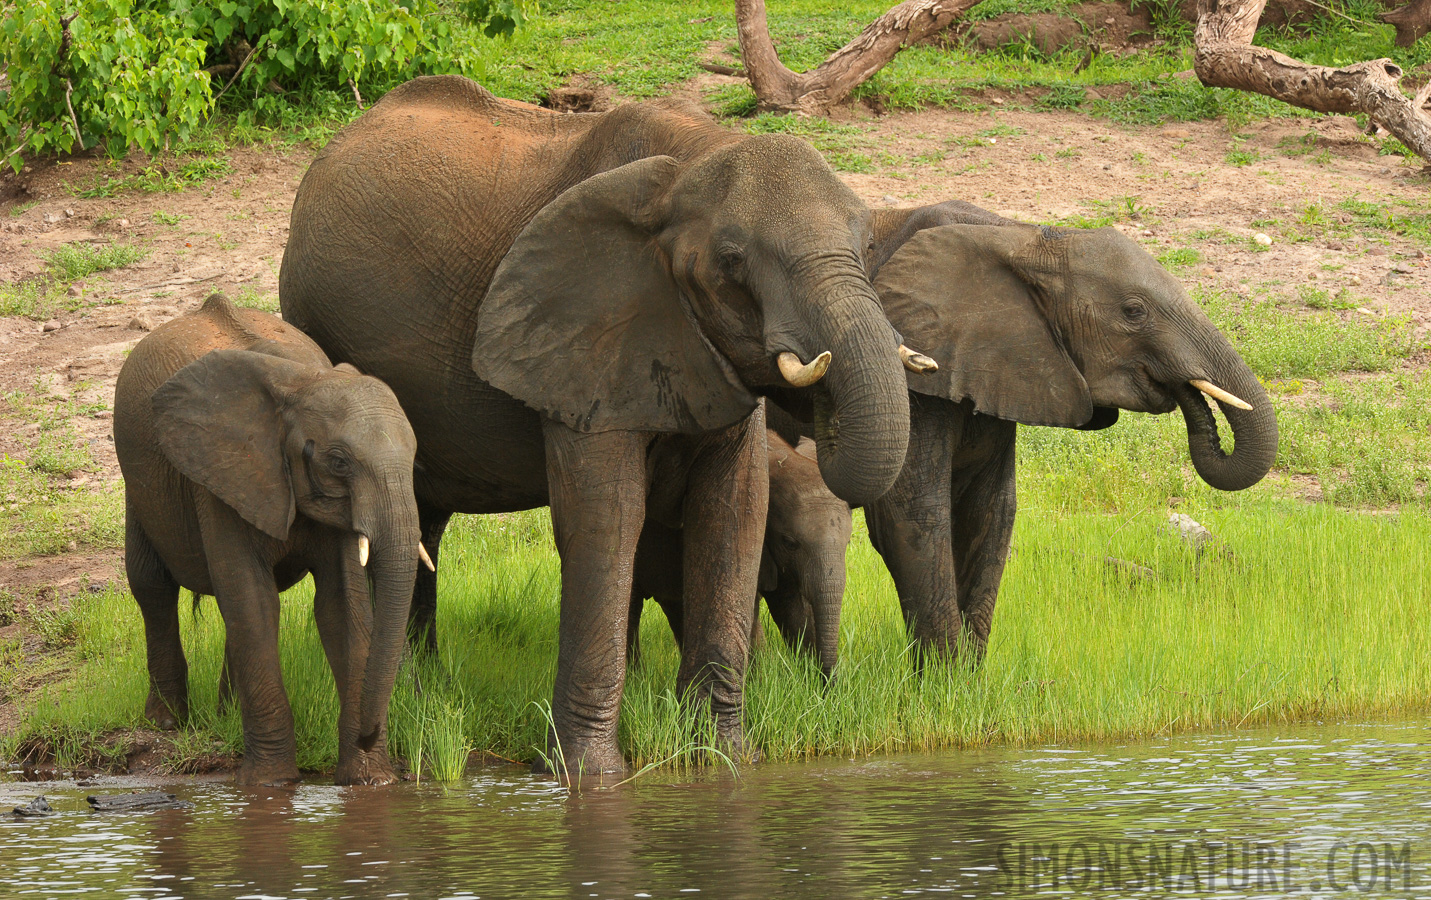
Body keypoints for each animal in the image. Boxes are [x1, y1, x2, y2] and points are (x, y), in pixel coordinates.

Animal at [114, 293, 420, 778]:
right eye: (338, 462)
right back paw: (165, 723)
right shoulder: (219, 477)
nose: (368, 735)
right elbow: (255, 603)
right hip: (140, 482)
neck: (298, 384)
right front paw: (269, 784)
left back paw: (224, 717)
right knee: (152, 586)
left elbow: (341, 607)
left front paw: (370, 782)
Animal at [626, 426, 847, 675]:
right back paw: (637, 677)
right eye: (790, 542)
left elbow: (793, 608)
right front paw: (757, 680)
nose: (828, 680)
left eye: (848, 543)